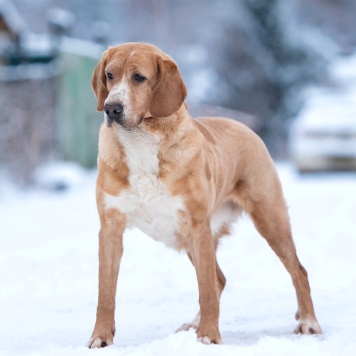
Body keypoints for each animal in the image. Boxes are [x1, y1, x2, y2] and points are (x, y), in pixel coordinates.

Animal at [87, 42, 322, 348]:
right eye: (110, 75)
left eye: (139, 77)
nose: (111, 108)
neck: (141, 141)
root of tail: (242, 125)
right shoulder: (110, 228)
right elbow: (105, 293)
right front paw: (100, 337)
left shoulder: (197, 225)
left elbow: (206, 290)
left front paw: (209, 336)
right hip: (192, 239)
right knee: (219, 279)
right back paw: (194, 324)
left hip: (269, 220)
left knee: (297, 272)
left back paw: (309, 322)